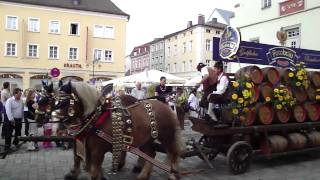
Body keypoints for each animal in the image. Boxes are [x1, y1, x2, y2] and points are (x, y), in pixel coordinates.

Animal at [53, 82, 181, 180]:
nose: (58, 127)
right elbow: (79, 159)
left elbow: (94, 169)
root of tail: (166, 107)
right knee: (151, 154)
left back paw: (173, 174)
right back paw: (143, 175)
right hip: (147, 139)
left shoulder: (97, 150)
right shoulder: (84, 144)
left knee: (173, 152)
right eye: (55, 101)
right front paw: (74, 174)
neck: (96, 118)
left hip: (167, 136)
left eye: (64, 102)